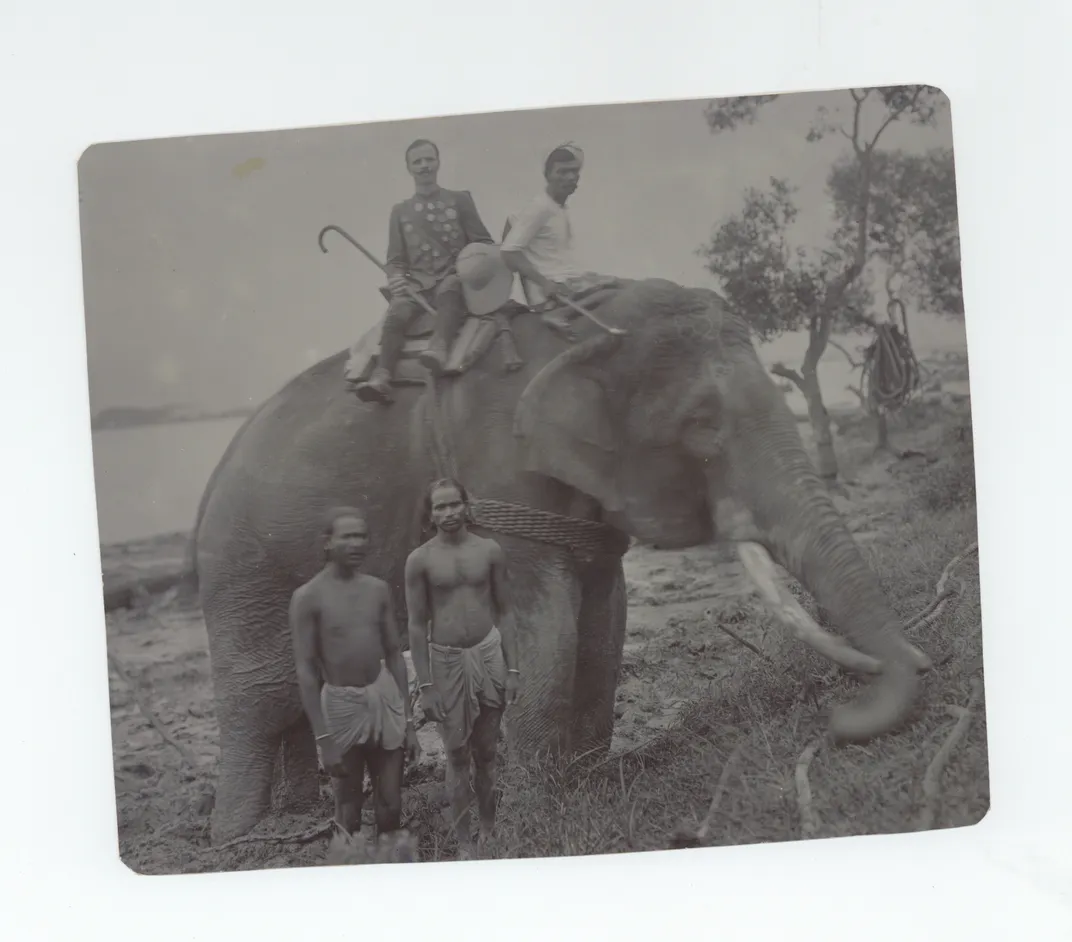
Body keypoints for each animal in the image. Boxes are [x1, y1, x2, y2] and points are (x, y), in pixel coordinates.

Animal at [190, 276, 930, 844]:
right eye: (700, 426)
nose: (838, 719)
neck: (585, 328)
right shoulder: (498, 471)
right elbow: (544, 622)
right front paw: (540, 819)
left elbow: (603, 617)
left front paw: (591, 785)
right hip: (244, 566)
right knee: (259, 696)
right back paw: (242, 839)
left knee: (292, 698)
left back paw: (300, 824)